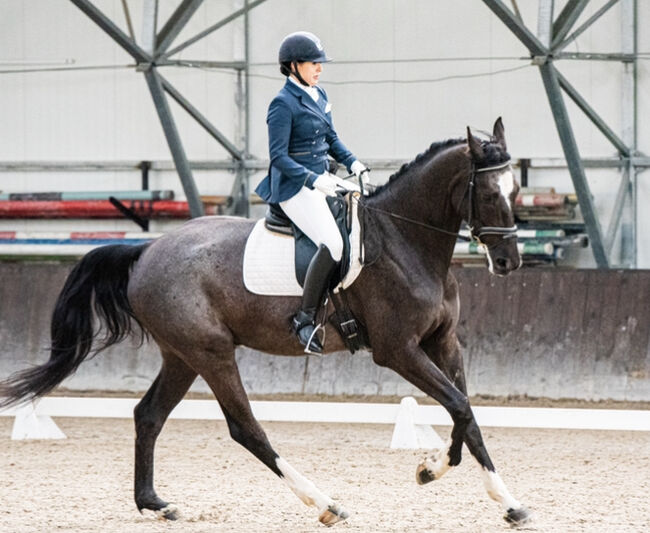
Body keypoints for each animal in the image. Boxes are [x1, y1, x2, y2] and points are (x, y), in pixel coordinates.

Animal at [0, 118, 528, 524]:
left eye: (517, 190)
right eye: (487, 192)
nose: (508, 263)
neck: (404, 241)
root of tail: (146, 250)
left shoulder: (443, 342)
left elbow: (465, 413)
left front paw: (481, 489)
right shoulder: (398, 350)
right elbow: (458, 405)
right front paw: (458, 480)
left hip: (182, 355)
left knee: (148, 415)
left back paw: (154, 504)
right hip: (211, 353)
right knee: (245, 428)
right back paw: (325, 503)